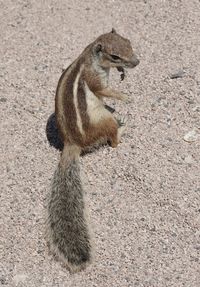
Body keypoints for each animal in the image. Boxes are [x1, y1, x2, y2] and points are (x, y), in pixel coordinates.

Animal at [46, 29, 139, 274]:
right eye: (115, 56)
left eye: (129, 43)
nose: (136, 62)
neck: (90, 58)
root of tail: (72, 144)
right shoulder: (94, 78)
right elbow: (102, 89)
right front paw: (124, 96)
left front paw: (123, 74)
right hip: (103, 119)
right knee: (112, 139)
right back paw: (122, 129)